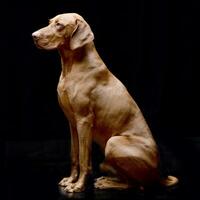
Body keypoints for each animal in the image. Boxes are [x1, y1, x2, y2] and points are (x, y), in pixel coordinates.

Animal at [32, 12, 178, 192]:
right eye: (50, 22)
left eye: (59, 25)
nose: (34, 36)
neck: (71, 67)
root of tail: (159, 176)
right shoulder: (72, 123)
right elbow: (74, 155)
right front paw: (71, 180)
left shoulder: (84, 121)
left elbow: (84, 159)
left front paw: (78, 185)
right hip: (107, 159)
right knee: (130, 181)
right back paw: (106, 180)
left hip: (114, 142)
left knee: (138, 185)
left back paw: (106, 183)